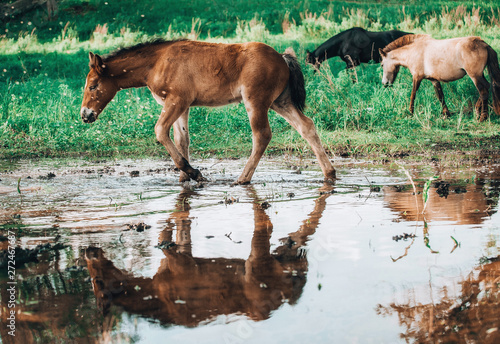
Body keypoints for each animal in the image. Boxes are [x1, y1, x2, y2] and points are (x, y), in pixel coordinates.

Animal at [80, 39, 336, 184]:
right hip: (280, 101)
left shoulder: (177, 100)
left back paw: (242, 179)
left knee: (262, 135)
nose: (85, 115)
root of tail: (282, 58)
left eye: (93, 85)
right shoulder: (180, 105)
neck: (157, 62)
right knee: (306, 126)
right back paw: (329, 173)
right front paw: (184, 177)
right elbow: (182, 139)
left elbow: (160, 131)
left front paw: (193, 172)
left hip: (256, 101)